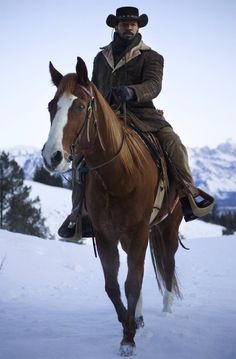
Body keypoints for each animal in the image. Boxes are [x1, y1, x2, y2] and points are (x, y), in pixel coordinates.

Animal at [42, 57, 183, 358]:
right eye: (51, 106)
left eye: (79, 106)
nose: (52, 157)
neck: (120, 175)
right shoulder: (106, 235)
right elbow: (113, 286)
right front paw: (128, 324)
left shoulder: (139, 233)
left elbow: (132, 283)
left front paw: (128, 339)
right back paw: (138, 316)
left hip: (167, 228)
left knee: (167, 265)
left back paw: (167, 309)